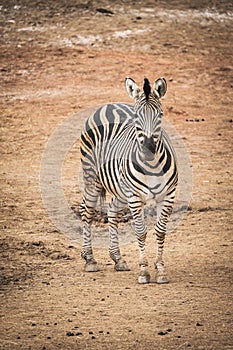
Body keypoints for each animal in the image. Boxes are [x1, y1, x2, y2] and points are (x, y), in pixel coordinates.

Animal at [79, 77, 177, 284]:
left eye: (160, 114)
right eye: (136, 117)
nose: (149, 147)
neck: (152, 165)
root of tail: (109, 104)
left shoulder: (168, 195)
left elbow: (160, 231)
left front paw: (160, 270)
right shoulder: (135, 197)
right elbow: (141, 232)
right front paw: (144, 271)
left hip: (120, 188)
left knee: (111, 210)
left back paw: (117, 258)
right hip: (92, 177)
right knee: (87, 211)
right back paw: (89, 259)